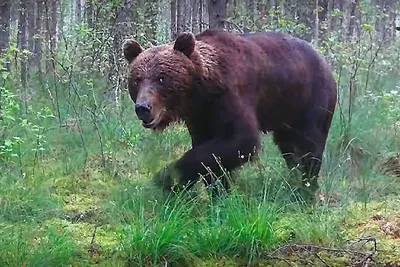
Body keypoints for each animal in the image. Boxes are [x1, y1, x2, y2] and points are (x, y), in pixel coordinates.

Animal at [122, 28, 338, 201]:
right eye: (136, 80)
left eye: (161, 78)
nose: (143, 107)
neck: (200, 92)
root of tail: (323, 60)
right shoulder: (200, 117)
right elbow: (210, 152)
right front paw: (218, 190)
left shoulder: (230, 96)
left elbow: (241, 140)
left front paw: (167, 178)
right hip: (285, 112)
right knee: (288, 146)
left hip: (311, 100)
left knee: (309, 145)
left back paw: (307, 188)